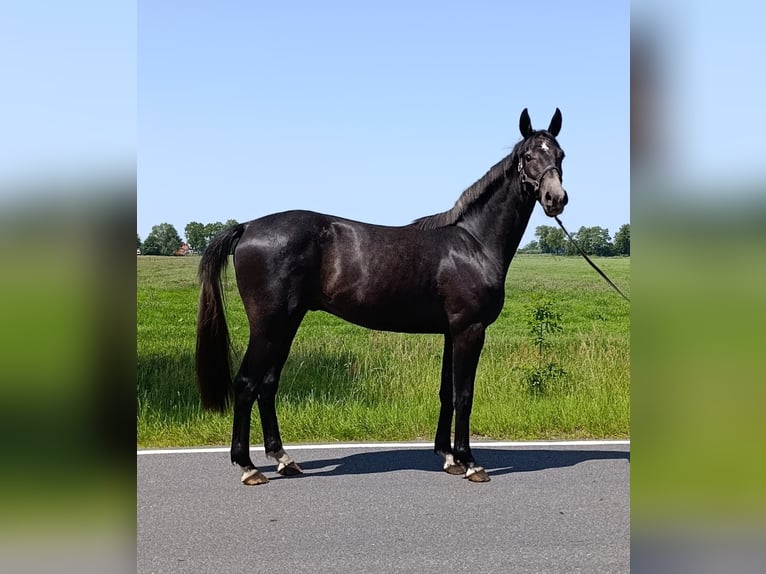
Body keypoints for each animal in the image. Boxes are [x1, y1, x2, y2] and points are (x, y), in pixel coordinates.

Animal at [196, 108, 568, 484]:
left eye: (560, 155)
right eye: (528, 156)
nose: (556, 198)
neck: (473, 243)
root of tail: (248, 227)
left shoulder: (452, 332)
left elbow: (446, 393)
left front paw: (449, 458)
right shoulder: (470, 330)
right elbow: (464, 395)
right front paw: (470, 462)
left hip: (286, 324)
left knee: (268, 385)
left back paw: (284, 459)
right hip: (269, 326)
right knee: (246, 384)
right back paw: (248, 466)